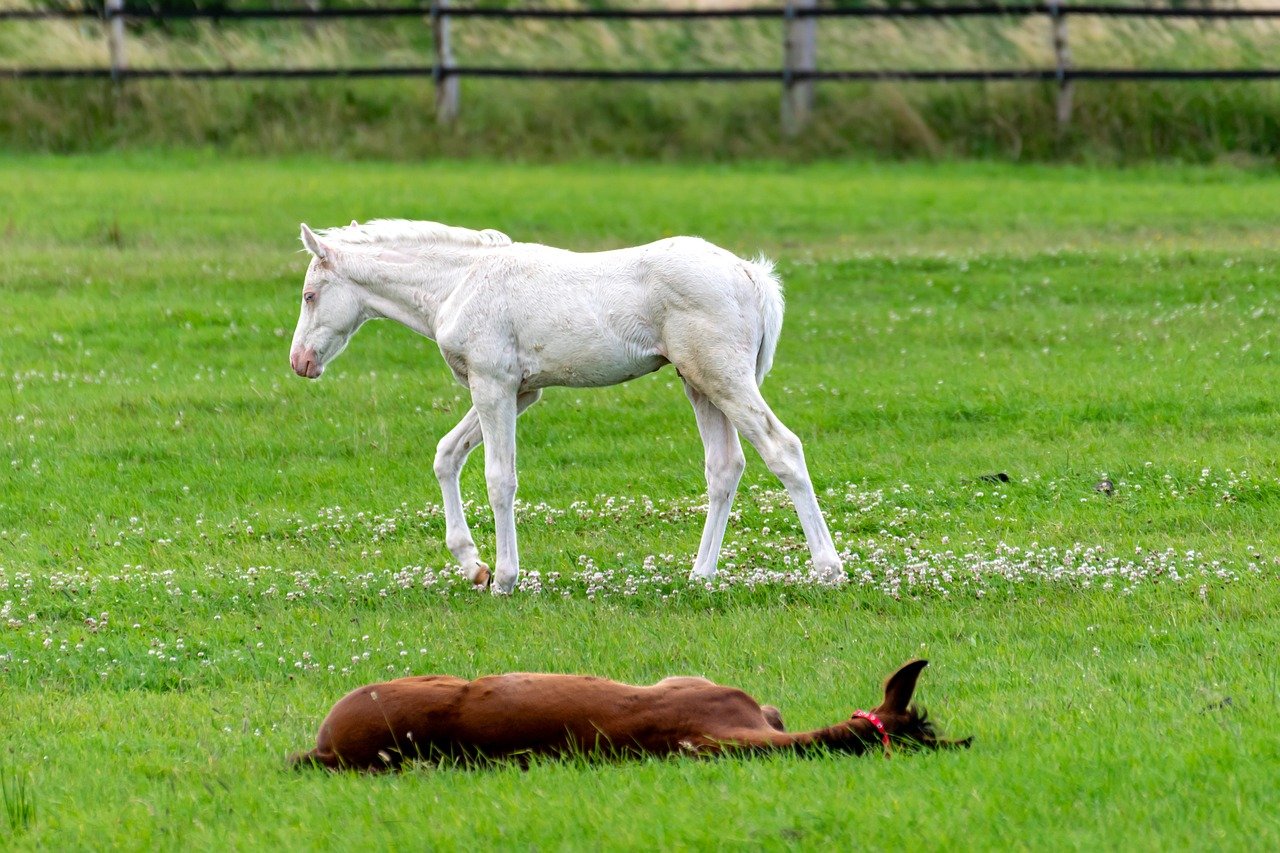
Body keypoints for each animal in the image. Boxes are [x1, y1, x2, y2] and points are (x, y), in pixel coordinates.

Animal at [293, 219, 844, 591]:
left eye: (309, 294)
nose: (300, 362)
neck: (458, 283)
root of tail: (752, 275)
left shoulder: (493, 385)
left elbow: (499, 478)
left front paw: (505, 578)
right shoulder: (520, 391)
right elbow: (447, 454)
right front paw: (472, 564)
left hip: (723, 378)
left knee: (783, 449)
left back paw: (829, 568)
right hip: (699, 384)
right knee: (725, 467)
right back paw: (700, 574)